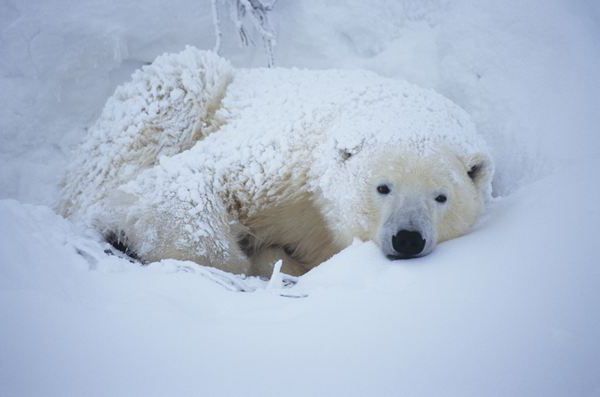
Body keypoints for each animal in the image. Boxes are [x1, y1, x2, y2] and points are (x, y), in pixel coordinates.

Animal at [58, 46, 494, 276]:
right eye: (382, 187)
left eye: (441, 197)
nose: (407, 238)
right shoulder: (285, 158)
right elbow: (183, 185)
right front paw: (248, 262)